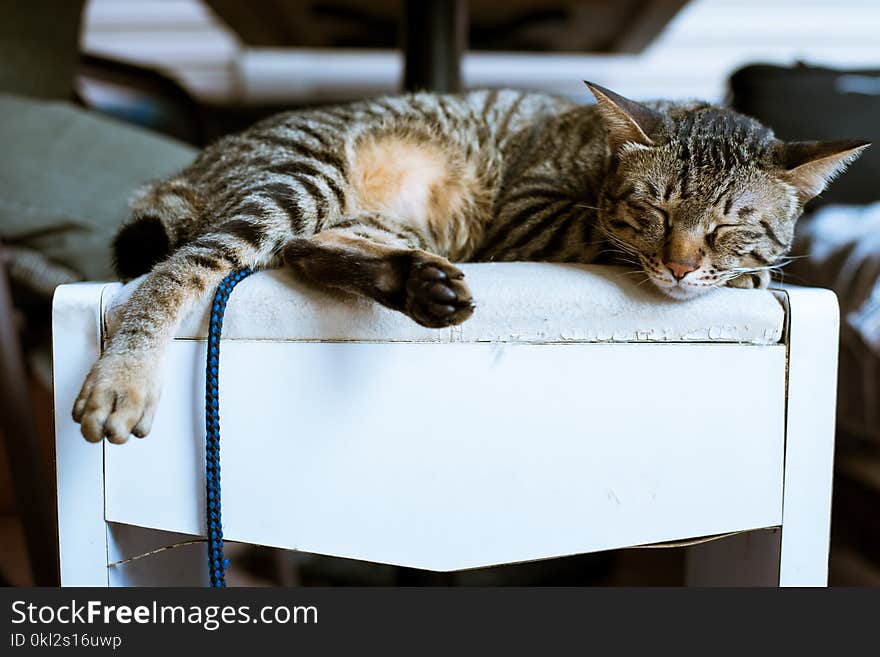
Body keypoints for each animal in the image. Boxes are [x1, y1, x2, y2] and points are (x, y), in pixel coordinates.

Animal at [72, 80, 868, 440]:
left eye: (730, 222)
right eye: (656, 210)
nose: (677, 266)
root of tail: (194, 168)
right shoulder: (534, 211)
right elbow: (602, 235)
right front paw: (746, 272)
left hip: (355, 212)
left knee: (300, 250)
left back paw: (415, 283)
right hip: (298, 177)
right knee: (184, 267)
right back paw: (121, 379)